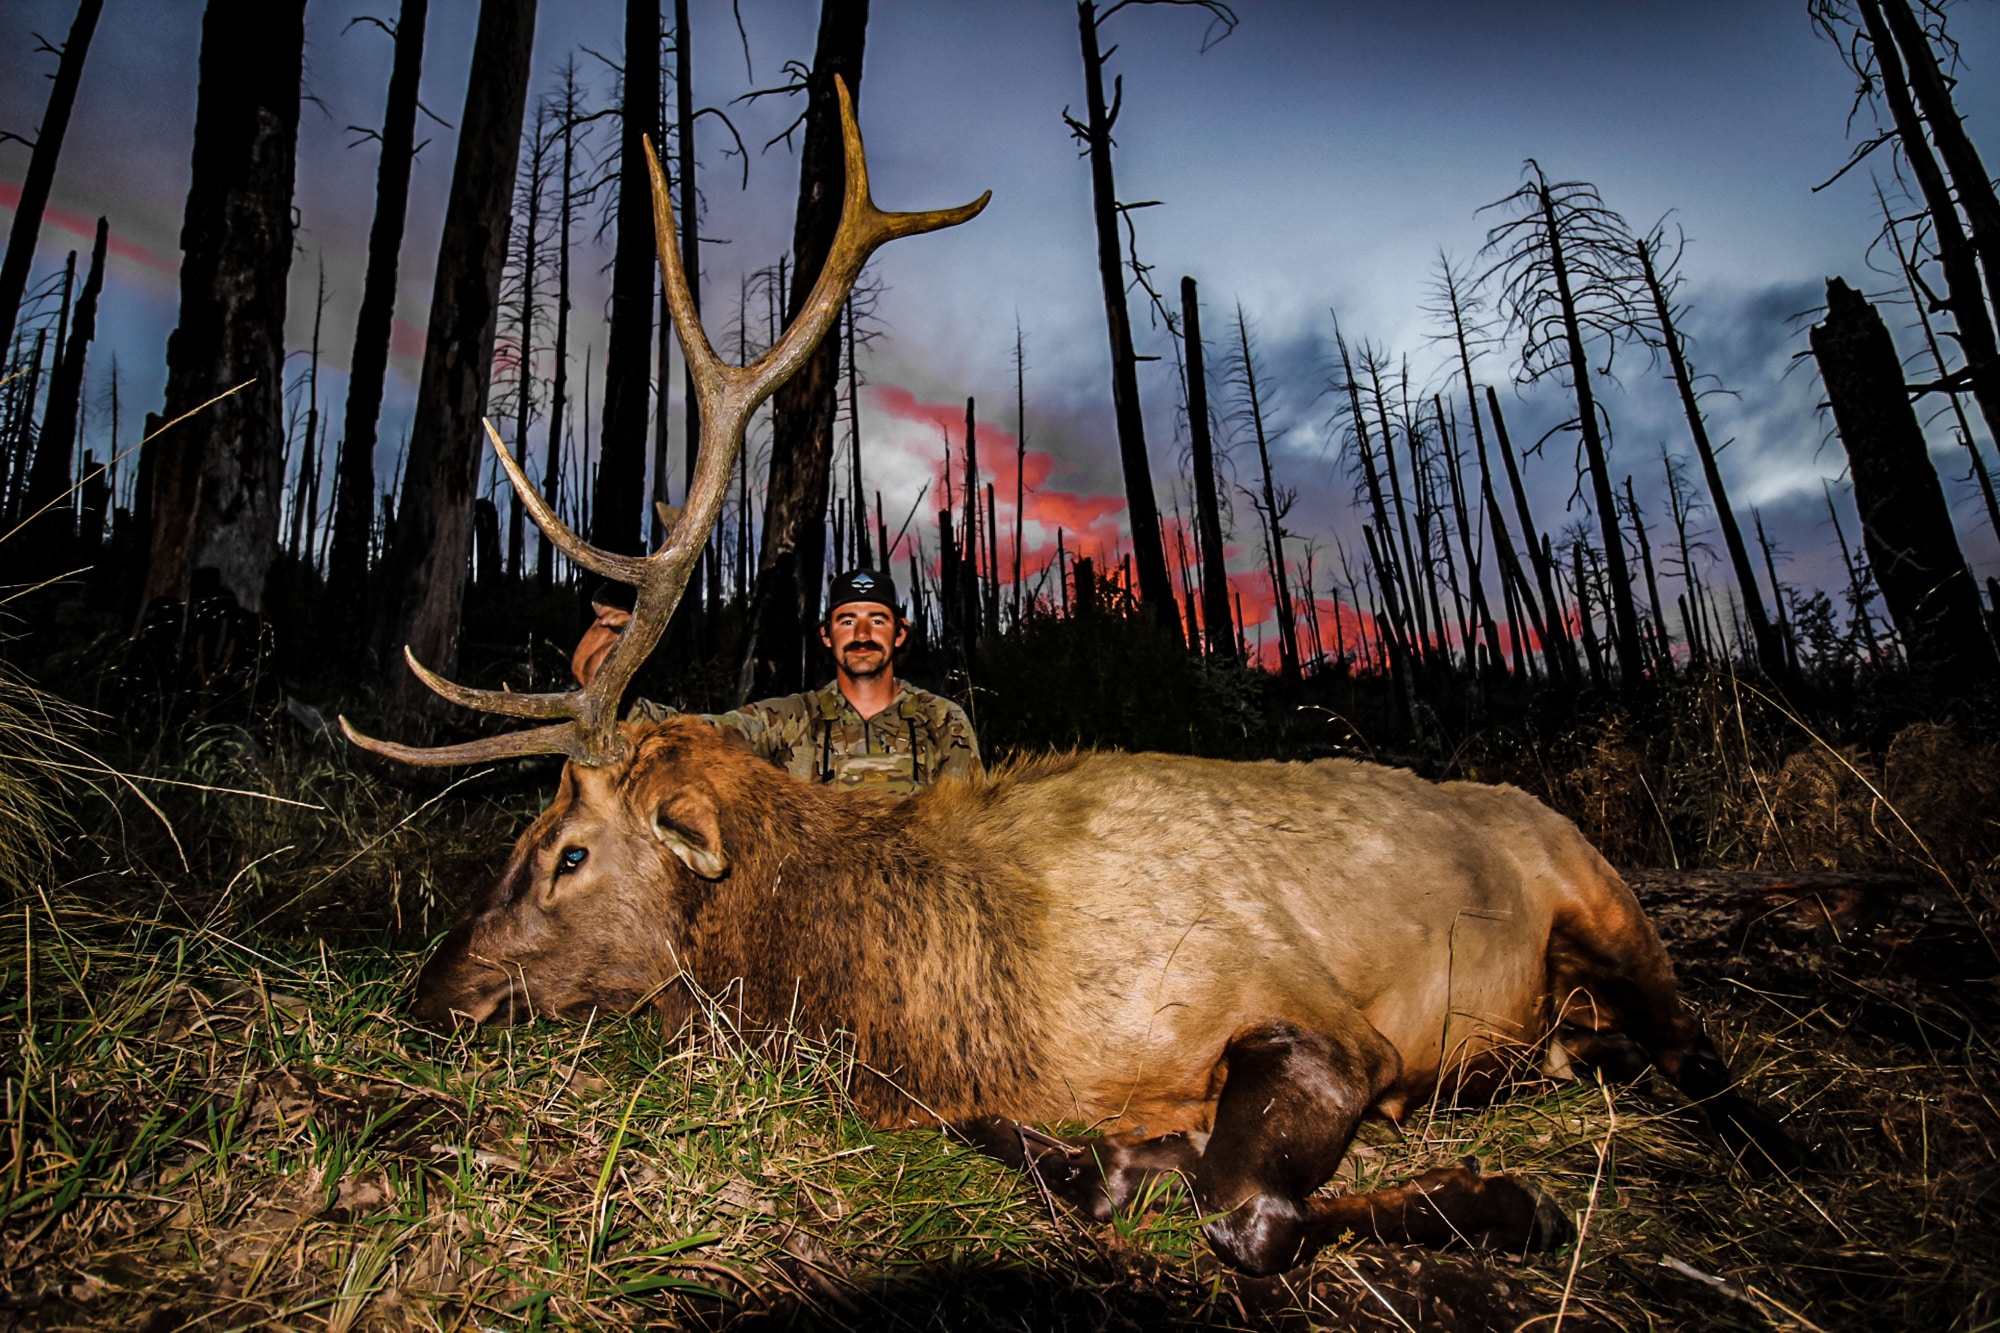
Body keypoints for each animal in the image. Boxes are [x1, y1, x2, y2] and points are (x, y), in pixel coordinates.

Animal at [340, 80, 1800, 1264]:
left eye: (566, 851)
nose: (425, 994)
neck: (937, 1001)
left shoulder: (1323, 1021)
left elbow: (1245, 1211)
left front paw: (1507, 1198)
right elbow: (1084, 1167)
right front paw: (1124, 1158)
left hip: (1608, 900)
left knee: (1702, 1050)